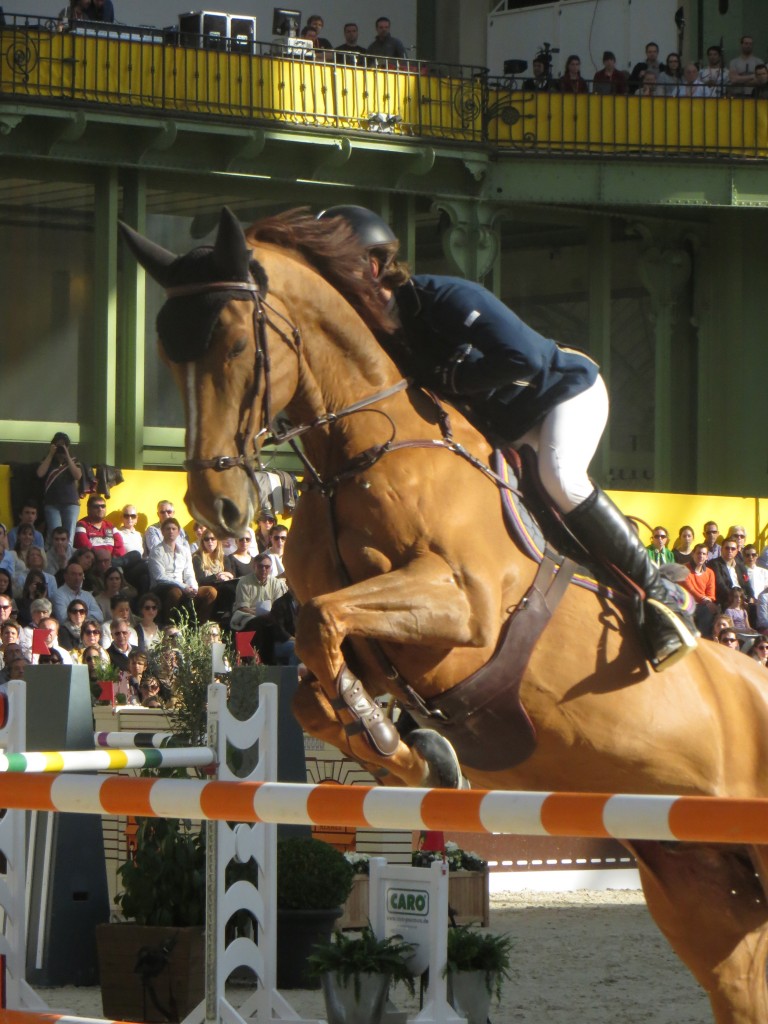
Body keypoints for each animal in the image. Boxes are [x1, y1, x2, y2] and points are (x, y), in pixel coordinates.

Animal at [121, 207, 768, 1024]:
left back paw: (667, 611)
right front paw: (413, 751)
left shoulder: (464, 610)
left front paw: (390, 739)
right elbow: (311, 679)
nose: (220, 509)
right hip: (701, 887)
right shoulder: (376, 634)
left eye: (236, 343)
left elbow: (320, 624)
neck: (357, 454)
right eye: (166, 354)